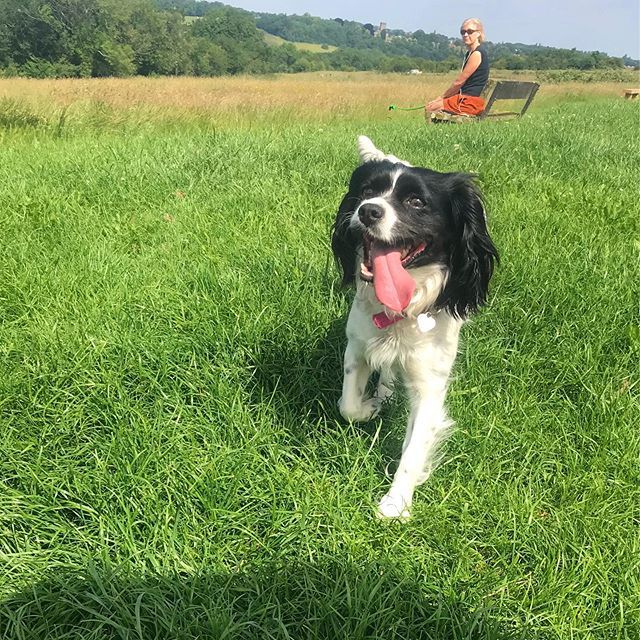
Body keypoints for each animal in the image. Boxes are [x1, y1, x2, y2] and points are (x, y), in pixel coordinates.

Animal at [332, 136, 498, 520]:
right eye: (366, 191)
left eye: (417, 202)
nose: (368, 211)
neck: (401, 309)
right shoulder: (357, 346)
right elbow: (348, 405)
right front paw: (369, 407)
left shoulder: (430, 382)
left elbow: (415, 445)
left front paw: (395, 502)